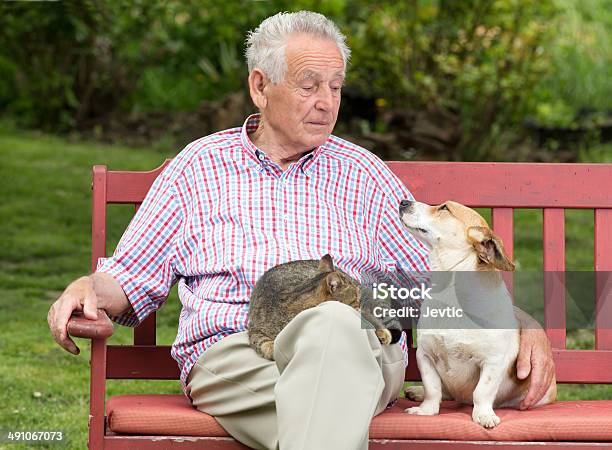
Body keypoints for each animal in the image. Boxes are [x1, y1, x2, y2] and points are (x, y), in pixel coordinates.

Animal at [396, 199, 556, 428]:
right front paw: (426, 410)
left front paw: (483, 415)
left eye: (444, 208)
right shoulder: (425, 355)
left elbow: (482, 392)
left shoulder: (492, 362)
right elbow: (432, 388)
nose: (403, 201)